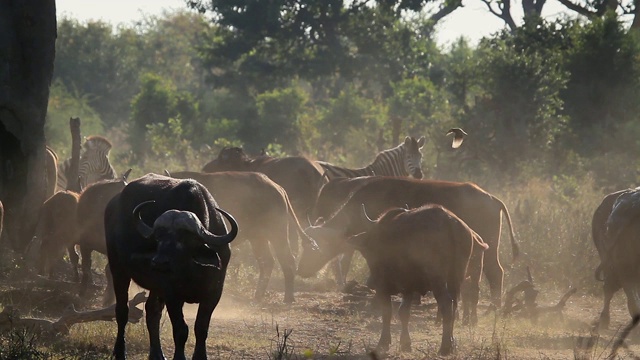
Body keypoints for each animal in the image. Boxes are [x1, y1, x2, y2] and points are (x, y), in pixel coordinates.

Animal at [106, 173, 239, 358]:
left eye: (184, 238)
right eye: (158, 237)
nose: (159, 262)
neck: (191, 269)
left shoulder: (214, 293)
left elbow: (201, 328)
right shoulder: (172, 294)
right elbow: (181, 330)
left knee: (152, 311)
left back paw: (157, 355)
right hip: (118, 269)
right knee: (122, 311)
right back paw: (120, 351)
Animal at [169, 170, 312, 302]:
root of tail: (279, 189)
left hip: (277, 233)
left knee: (288, 260)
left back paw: (288, 297)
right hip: (258, 238)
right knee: (267, 261)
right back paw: (258, 296)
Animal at [298, 176, 516, 324]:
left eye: (313, 247)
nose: (301, 269)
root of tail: (492, 199)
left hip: (488, 248)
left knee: (496, 273)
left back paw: (493, 309)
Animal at [348, 204, 488, 356]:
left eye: (368, 251)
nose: (370, 282)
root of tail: (449, 221)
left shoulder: (383, 287)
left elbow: (387, 312)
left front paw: (383, 343)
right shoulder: (408, 288)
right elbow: (403, 312)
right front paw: (405, 343)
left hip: (438, 279)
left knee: (446, 303)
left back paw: (444, 346)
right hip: (456, 278)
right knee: (454, 305)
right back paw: (451, 343)